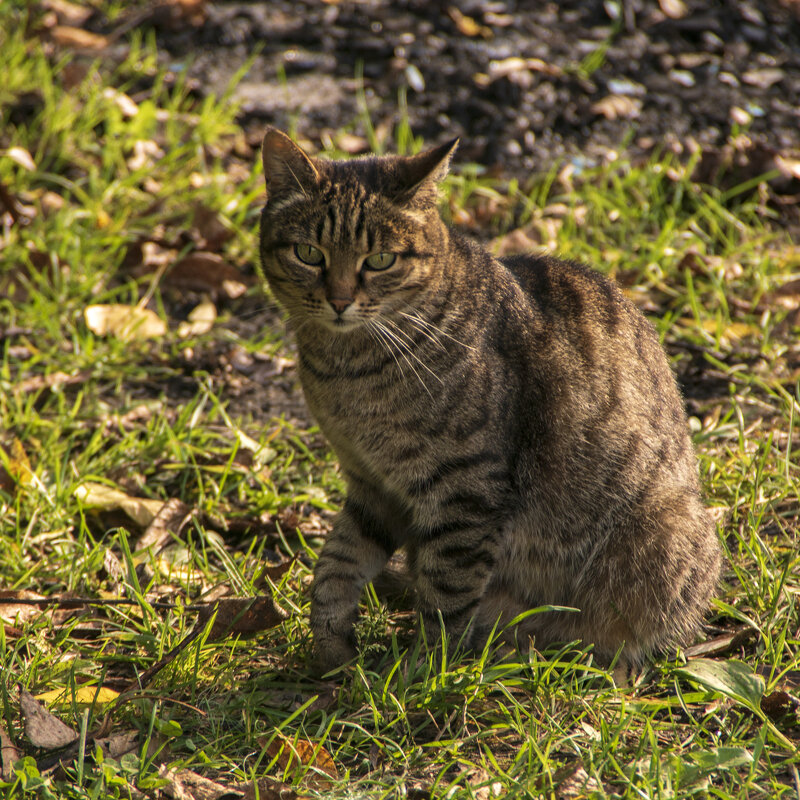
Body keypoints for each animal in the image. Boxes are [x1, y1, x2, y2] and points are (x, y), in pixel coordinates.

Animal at [260, 128, 720, 680]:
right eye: (309, 253)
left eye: (380, 260)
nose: (339, 300)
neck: (345, 369)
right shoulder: (372, 484)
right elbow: (336, 563)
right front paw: (332, 650)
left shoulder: (465, 488)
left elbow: (446, 592)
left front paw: (418, 672)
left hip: (662, 535)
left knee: (620, 637)